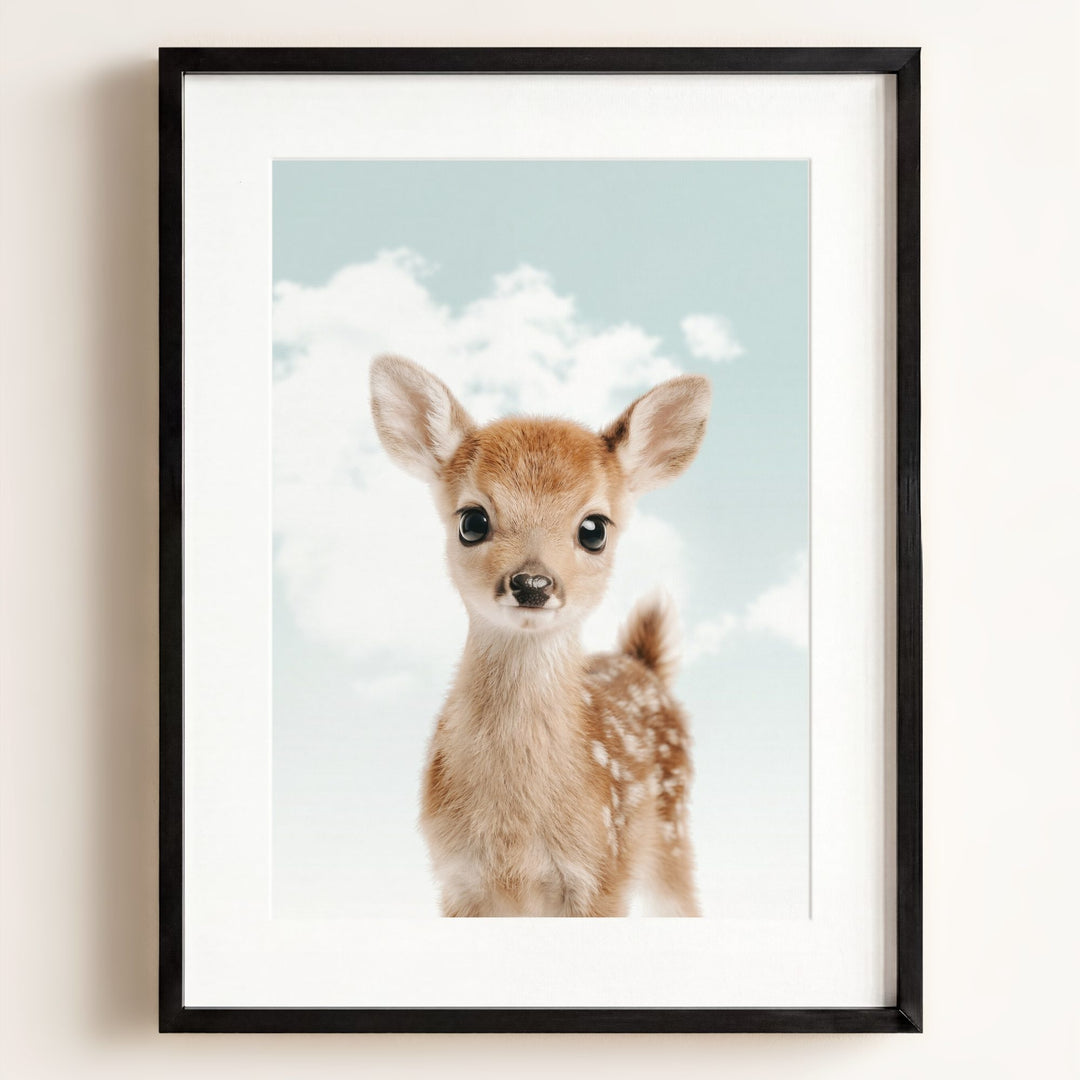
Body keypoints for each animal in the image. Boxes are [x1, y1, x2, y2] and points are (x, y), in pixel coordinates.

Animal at [369, 355, 711, 916]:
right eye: (472, 520)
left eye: (594, 529)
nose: (532, 583)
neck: (515, 836)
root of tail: (643, 663)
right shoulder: (457, 879)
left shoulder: (602, 873)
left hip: (671, 831)